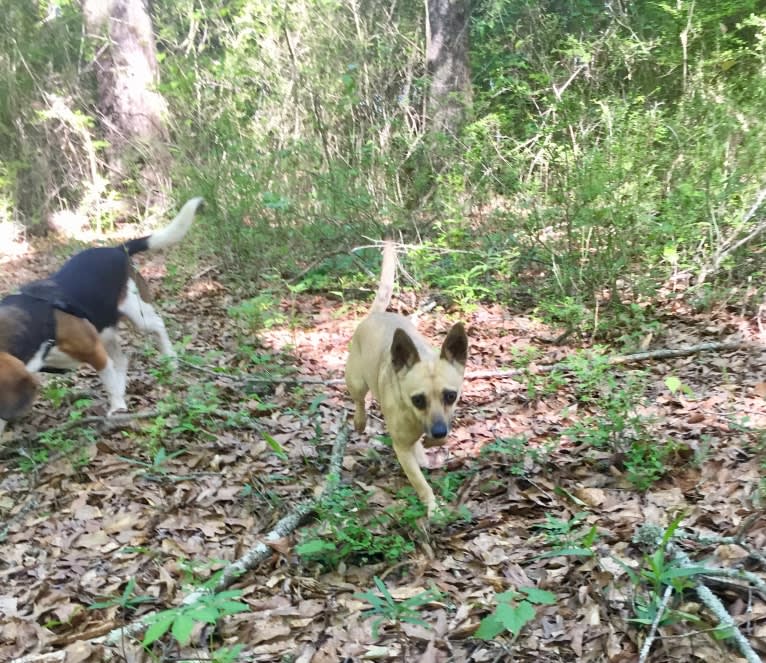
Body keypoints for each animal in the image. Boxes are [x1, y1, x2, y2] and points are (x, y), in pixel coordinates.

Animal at [346, 241, 468, 516]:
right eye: (418, 400)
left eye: (451, 396)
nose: (438, 431)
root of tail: (373, 315)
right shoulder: (401, 447)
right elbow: (420, 483)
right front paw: (433, 508)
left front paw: (430, 445)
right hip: (356, 381)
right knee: (358, 400)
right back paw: (359, 420)